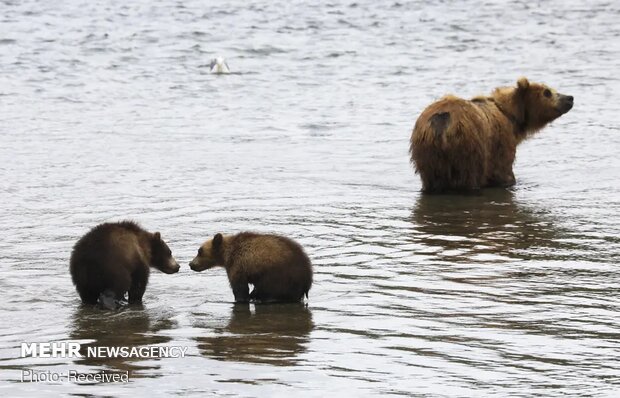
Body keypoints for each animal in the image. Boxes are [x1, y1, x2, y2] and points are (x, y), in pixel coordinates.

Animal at [410, 78, 572, 193]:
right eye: (547, 92)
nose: (570, 98)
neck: (511, 115)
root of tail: (442, 122)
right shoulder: (501, 143)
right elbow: (504, 171)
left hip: (427, 152)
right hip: (469, 148)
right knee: (470, 176)